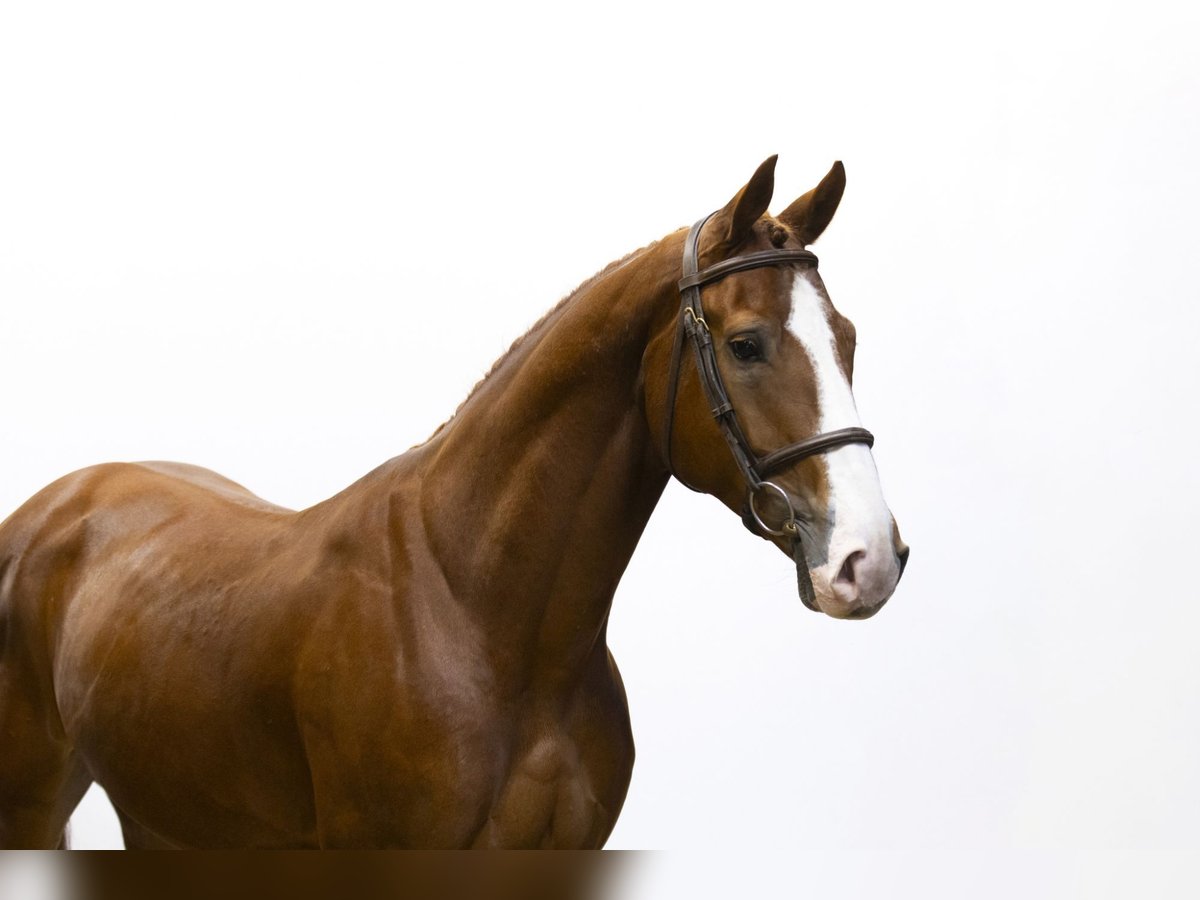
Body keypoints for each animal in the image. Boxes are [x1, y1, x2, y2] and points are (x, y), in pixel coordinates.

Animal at [0, 158, 902, 849]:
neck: (477, 615)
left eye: (850, 338)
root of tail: (58, 504)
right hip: (34, 808)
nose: (870, 560)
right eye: (746, 345)